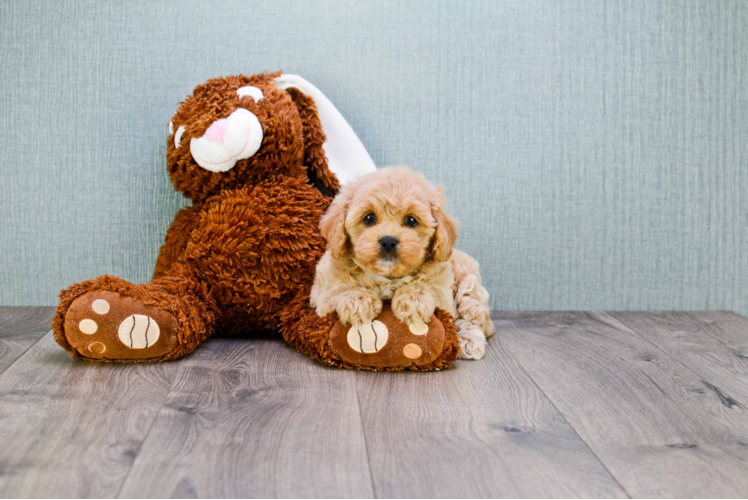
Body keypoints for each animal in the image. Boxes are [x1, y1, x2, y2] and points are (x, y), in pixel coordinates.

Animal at [312, 168, 494, 360]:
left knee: (474, 316)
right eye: (369, 218)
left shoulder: (444, 294)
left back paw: (468, 341)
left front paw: (413, 301)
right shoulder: (321, 293)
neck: (387, 276)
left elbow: (426, 286)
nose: (388, 241)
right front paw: (360, 303)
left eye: (411, 220)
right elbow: (339, 289)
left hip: (468, 282)